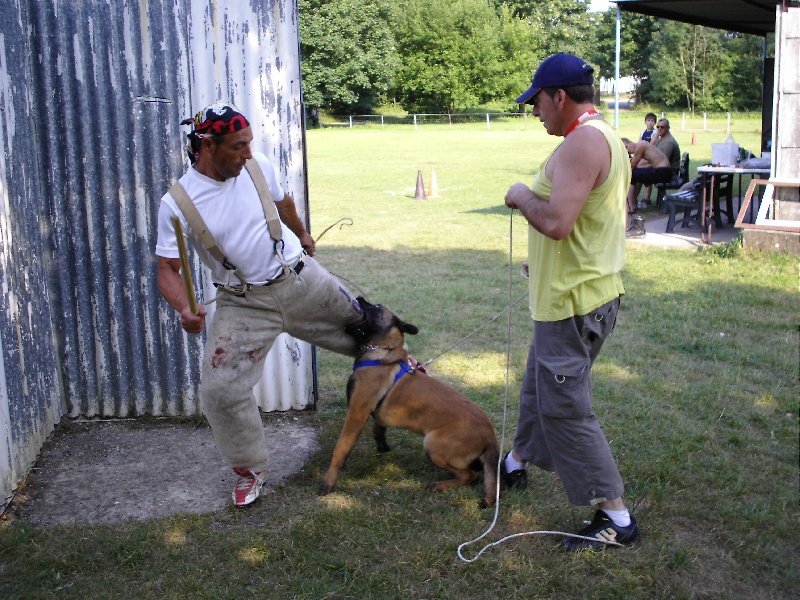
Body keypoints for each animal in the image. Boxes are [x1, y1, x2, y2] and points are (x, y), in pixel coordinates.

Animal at [320, 296, 500, 506]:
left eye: (376, 307)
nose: (359, 298)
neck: (382, 352)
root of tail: (490, 433)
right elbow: (377, 428)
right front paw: (382, 446)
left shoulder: (356, 412)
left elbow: (341, 448)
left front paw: (329, 481)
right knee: (477, 469)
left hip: (432, 444)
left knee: (471, 475)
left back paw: (441, 485)